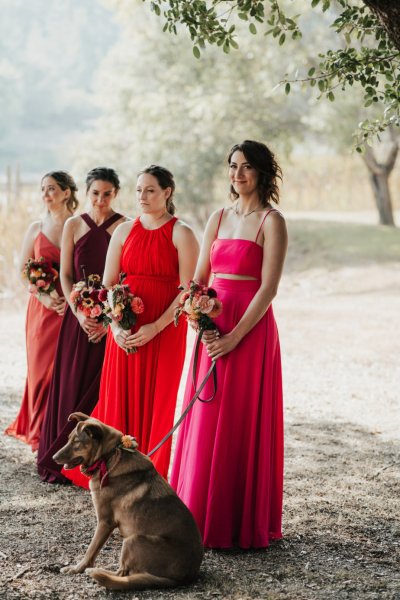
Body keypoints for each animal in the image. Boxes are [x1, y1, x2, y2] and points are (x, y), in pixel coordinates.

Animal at [53, 412, 203, 592]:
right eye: (68, 438)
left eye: (77, 442)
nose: (53, 457)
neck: (109, 456)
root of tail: (181, 578)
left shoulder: (105, 522)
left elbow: (91, 550)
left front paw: (77, 569)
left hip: (133, 540)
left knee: (122, 574)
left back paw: (97, 571)